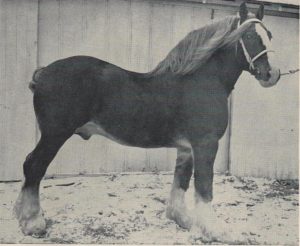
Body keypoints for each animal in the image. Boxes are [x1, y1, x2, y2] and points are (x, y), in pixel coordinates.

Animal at [13, 1, 282, 240]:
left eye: (269, 35)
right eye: (250, 35)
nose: (272, 74)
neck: (201, 81)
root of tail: (43, 72)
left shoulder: (187, 148)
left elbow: (181, 181)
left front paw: (181, 219)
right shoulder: (206, 144)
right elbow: (204, 187)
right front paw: (215, 232)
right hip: (55, 134)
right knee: (34, 166)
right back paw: (33, 222)